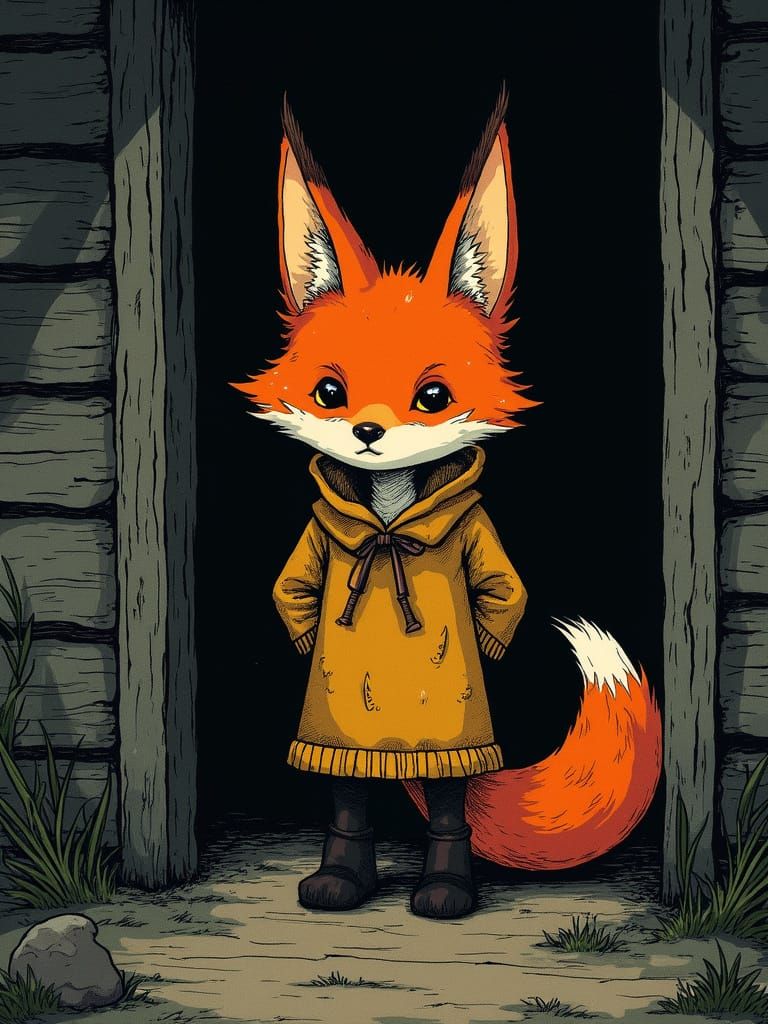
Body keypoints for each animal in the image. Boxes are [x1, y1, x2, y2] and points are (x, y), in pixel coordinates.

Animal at [233, 90, 662, 919]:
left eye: (432, 397)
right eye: (329, 391)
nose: (368, 433)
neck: (389, 514)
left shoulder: (479, 541)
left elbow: (503, 590)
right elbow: (294, 588)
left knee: (447, 796)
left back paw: (443, 889)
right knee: (351, 791)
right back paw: (343, 879)